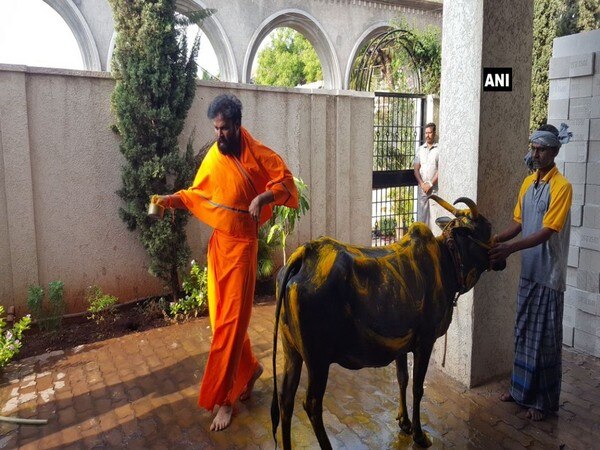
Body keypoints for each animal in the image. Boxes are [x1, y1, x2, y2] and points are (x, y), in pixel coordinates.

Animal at [272, 196, 506, 446]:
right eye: (486, 228)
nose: (501, 258)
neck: (446, 263)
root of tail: (305, 255)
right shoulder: (426, 341)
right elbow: (417, 387)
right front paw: (419, 434)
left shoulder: (401, 343)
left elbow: (402, 378)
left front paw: (404, 422)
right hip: (317, 360)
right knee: (312, 405)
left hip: (291, 351)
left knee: (285, 400)